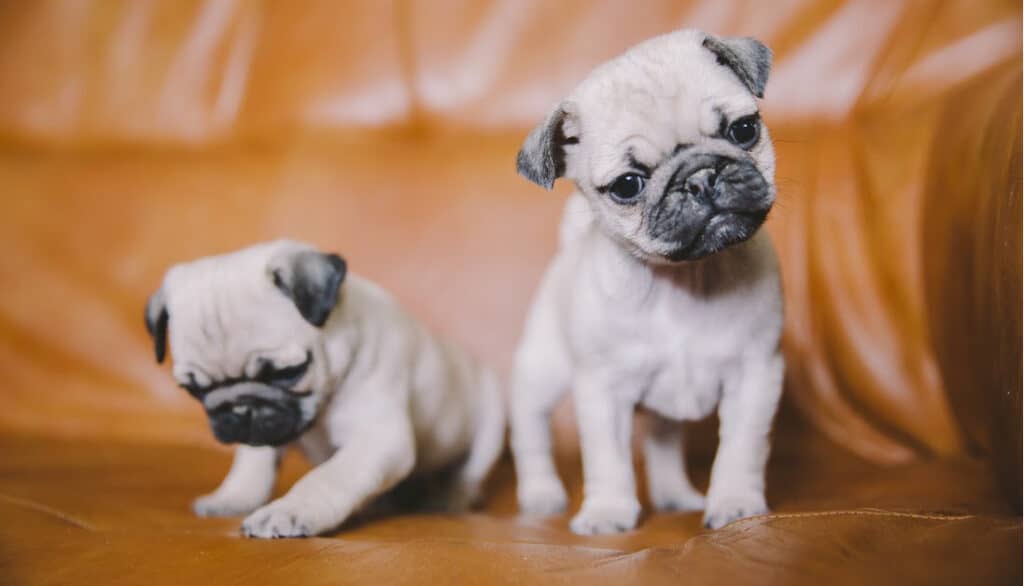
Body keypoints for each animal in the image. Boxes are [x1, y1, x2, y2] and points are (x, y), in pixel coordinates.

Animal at [146, 240, 505, 536]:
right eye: (193, 390)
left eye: (287, 372)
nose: (239, 408)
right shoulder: (264, 434)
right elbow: (253, 465)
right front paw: (234, 496)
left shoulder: (375, 439)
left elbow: (329, 477)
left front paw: (289, 511)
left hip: (492, 422)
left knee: (470, 472)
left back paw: (450, 498)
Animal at [509, 32, 782, 536]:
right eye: (627, 185)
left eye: (743, 130)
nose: (700, 177)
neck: (684, 278)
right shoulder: (603, 390)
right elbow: (608, 460)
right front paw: (607, 512)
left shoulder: (756, 375)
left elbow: (741, 447)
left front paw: (736, 505)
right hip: (541, 370)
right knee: (530, 431)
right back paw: (541, 494)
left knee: (662, 443)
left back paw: (674, 496)